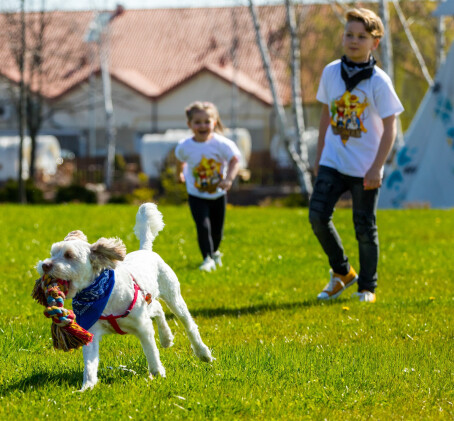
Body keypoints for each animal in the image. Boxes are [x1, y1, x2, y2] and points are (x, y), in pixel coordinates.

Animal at [36, 202, 213, 388]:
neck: (102, 295)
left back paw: (202, 352)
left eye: (69, 255)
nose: (45, 265)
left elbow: (151, 352)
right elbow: (90, 364)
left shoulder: (143, 326)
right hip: (149, 299)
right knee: (157, 308)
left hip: (173, 296)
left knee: (188, 324)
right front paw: (87, 387)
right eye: (52, 253)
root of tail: (145, 250)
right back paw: (166, 337)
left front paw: (157, 374)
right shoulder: (92, 330)